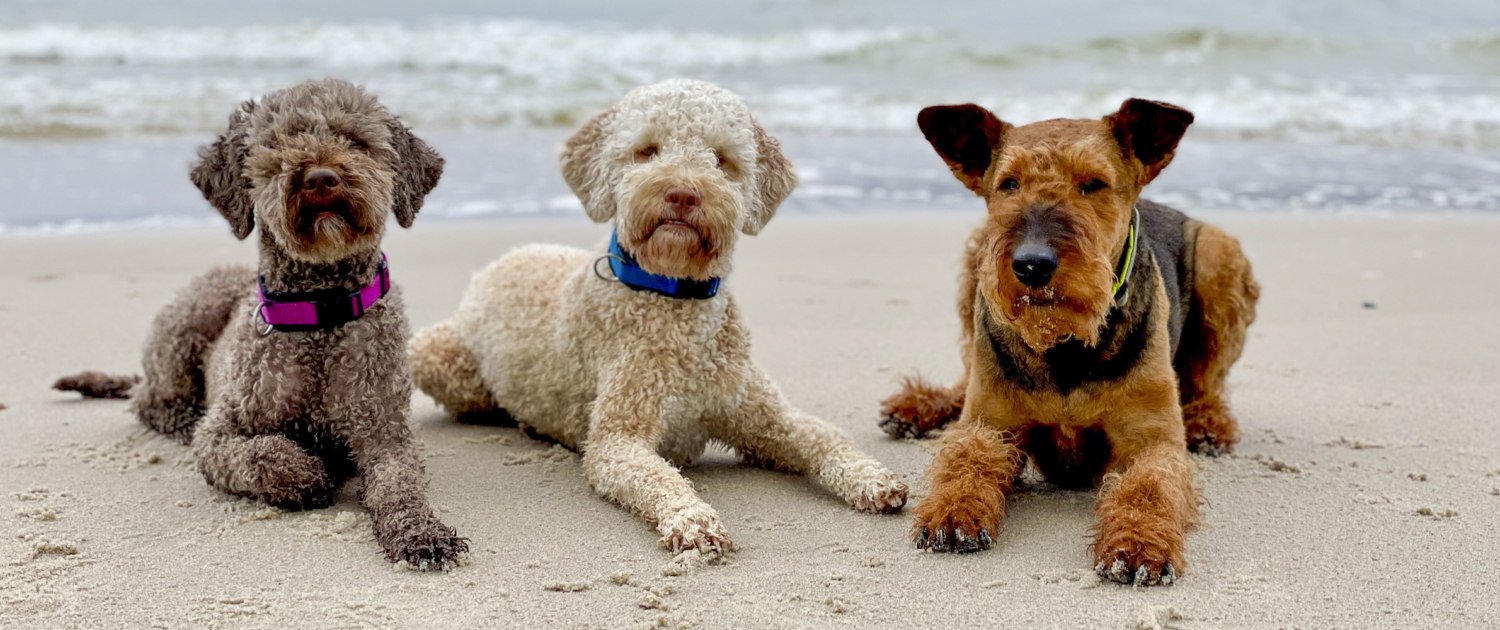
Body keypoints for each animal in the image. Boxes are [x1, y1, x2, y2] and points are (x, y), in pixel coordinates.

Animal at [54, 78, 462, 570]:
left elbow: (400, 485)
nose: (320, 177)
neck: (321, 312)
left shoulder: (386, 431)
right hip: (188, 321)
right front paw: (312, 474)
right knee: (150, 401)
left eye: (356, 141)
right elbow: (265, 452)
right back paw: (181, 417)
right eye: (277, 144)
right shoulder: (221, 434)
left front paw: (421, 534)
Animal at [408, 78, 900, 555]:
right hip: (434, 357)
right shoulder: (618, 438)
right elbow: (657, 475)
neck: (675, 297)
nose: (682, 193)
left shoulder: (764, 417)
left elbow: (824, 436)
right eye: (647, 150)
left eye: (721, 159)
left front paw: (869, 476)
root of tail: (500, 259)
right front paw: (691, 518)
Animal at [882, 98, 1260, 585]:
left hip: (1219, 254)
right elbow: (966, 455)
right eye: (1009, 183)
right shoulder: (990, 423)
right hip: (976, 258)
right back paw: (915, 407)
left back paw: (1209, 425)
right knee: (965, 374)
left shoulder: (1150, 439)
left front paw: (1138, 544)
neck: (1063, 344)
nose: (1032, 265)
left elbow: (1149, 485)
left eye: (1093, 184)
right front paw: (952, 513)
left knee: (1208, 380)